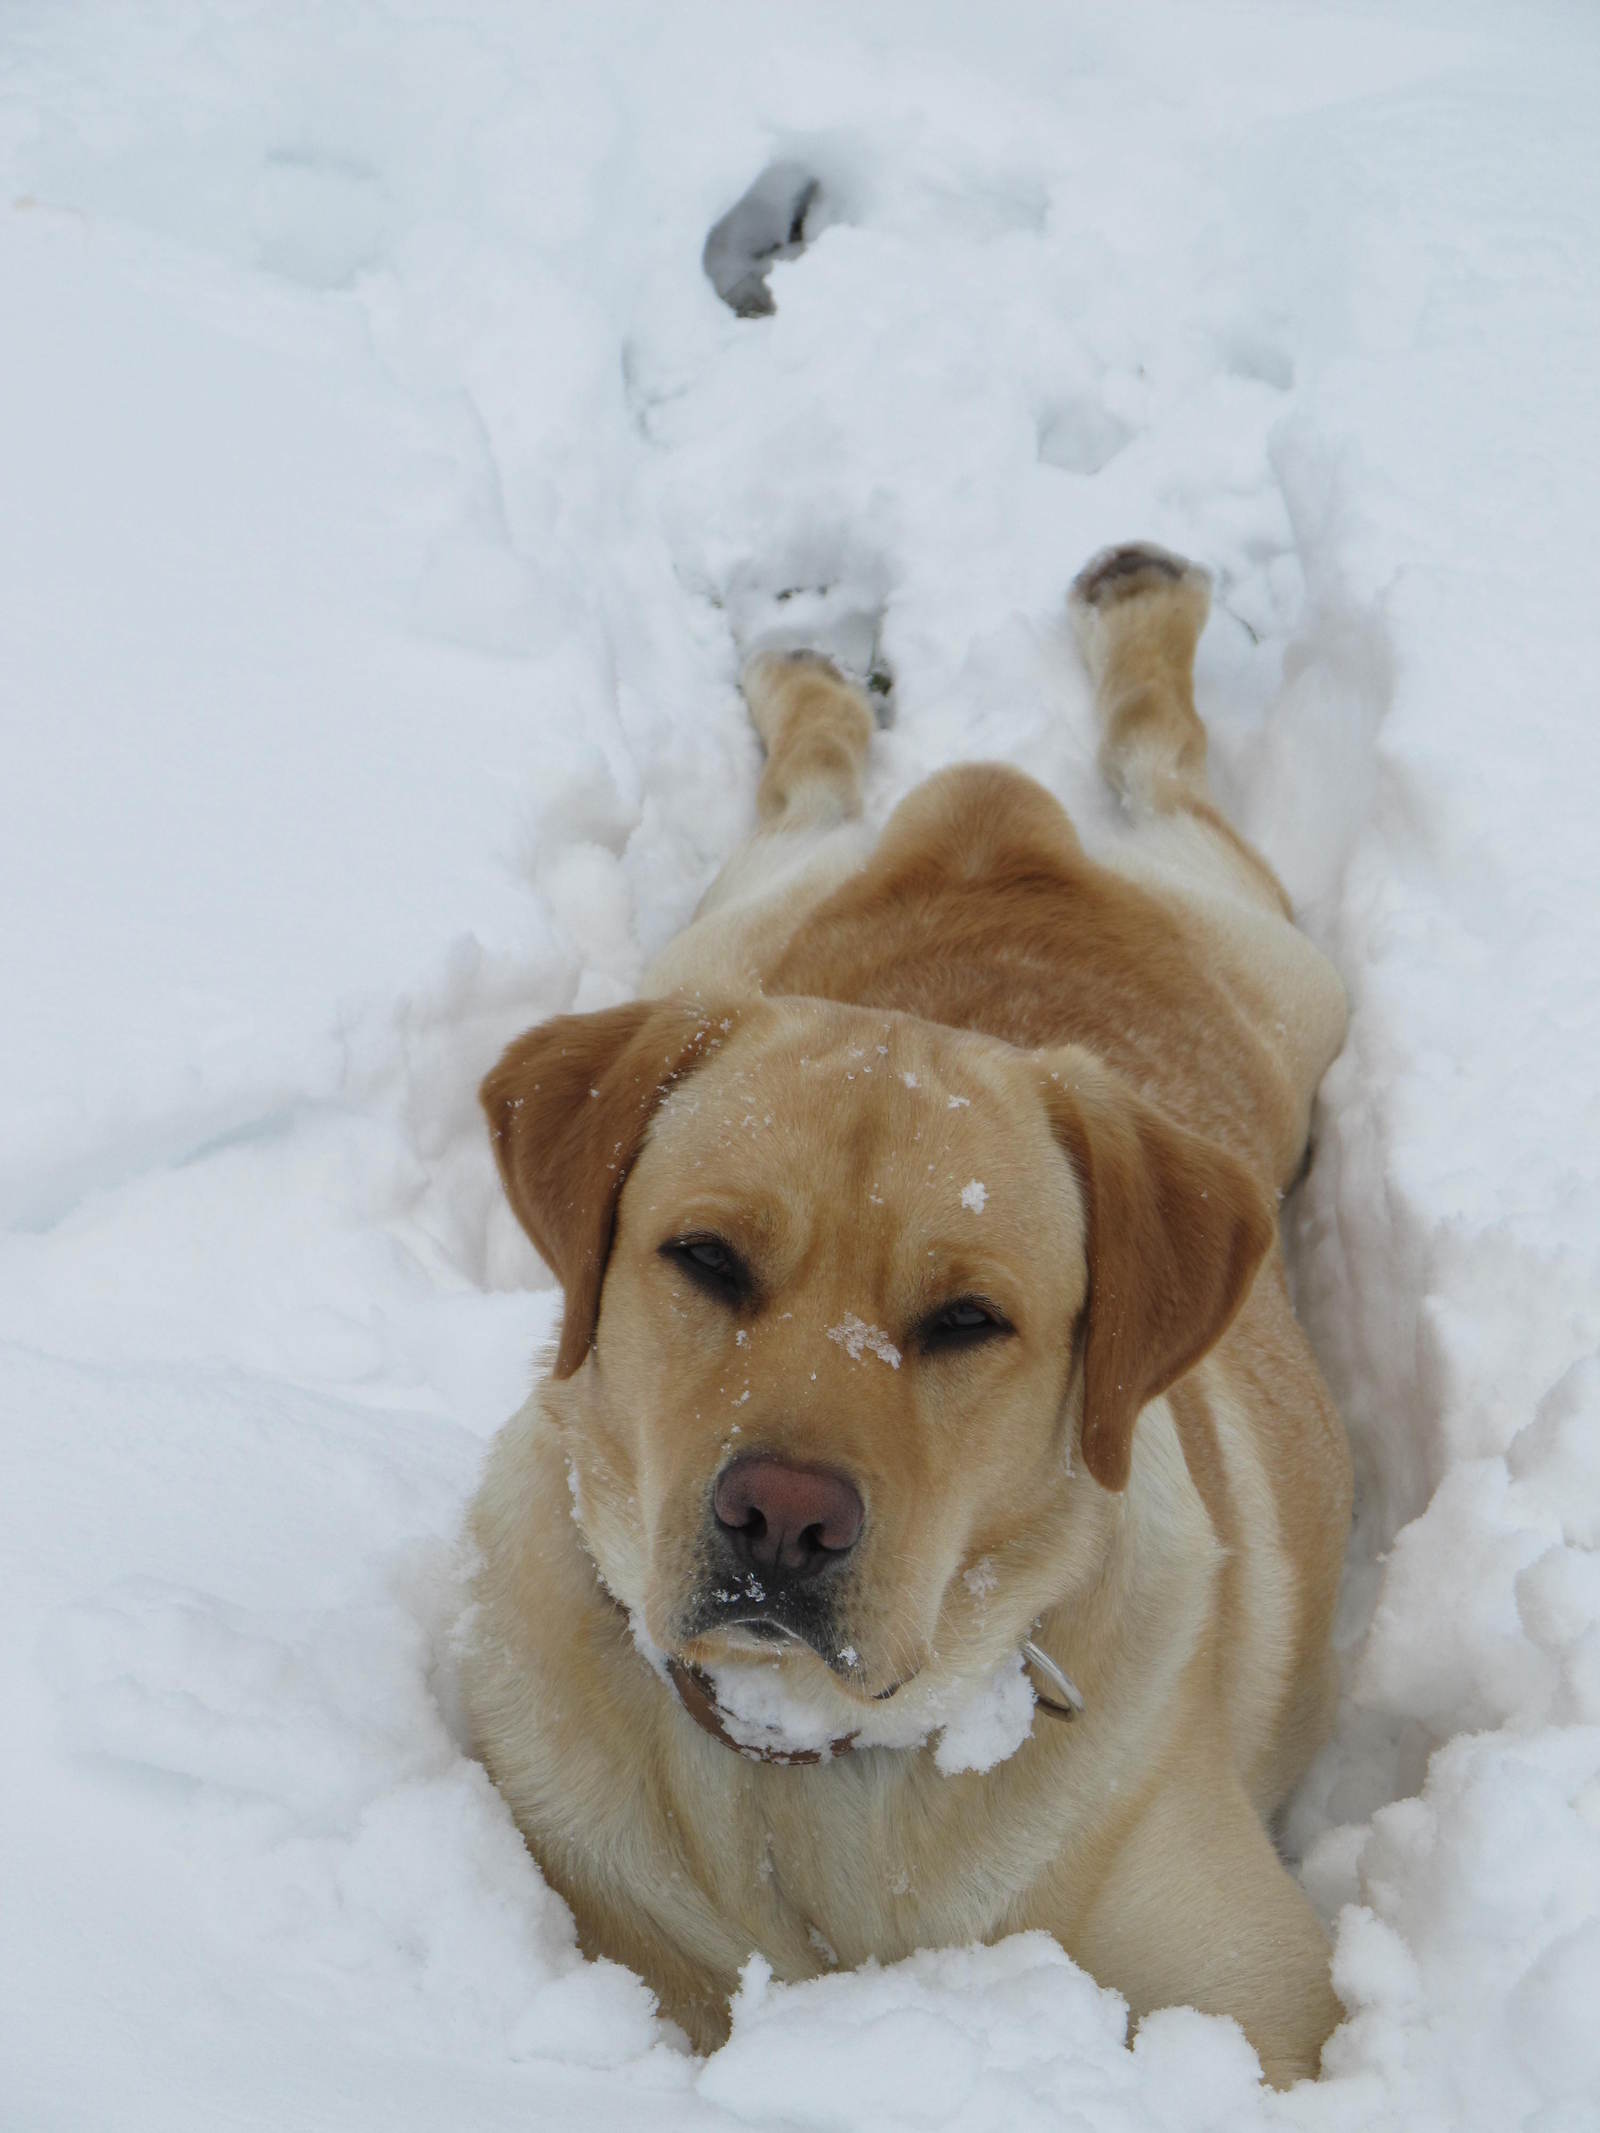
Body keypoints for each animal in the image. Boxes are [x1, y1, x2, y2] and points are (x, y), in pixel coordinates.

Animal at [462, 546, 1356, 2081]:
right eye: (706, 1258)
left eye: (966, 1320)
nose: (780, 1518)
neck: (810, 1774)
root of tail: (996, 834)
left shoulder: (1271, 2006)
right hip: (724, 928)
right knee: (826, 790)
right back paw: (808, 661)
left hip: (1286, 972)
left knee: (1166, 767)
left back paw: (1134, 602)